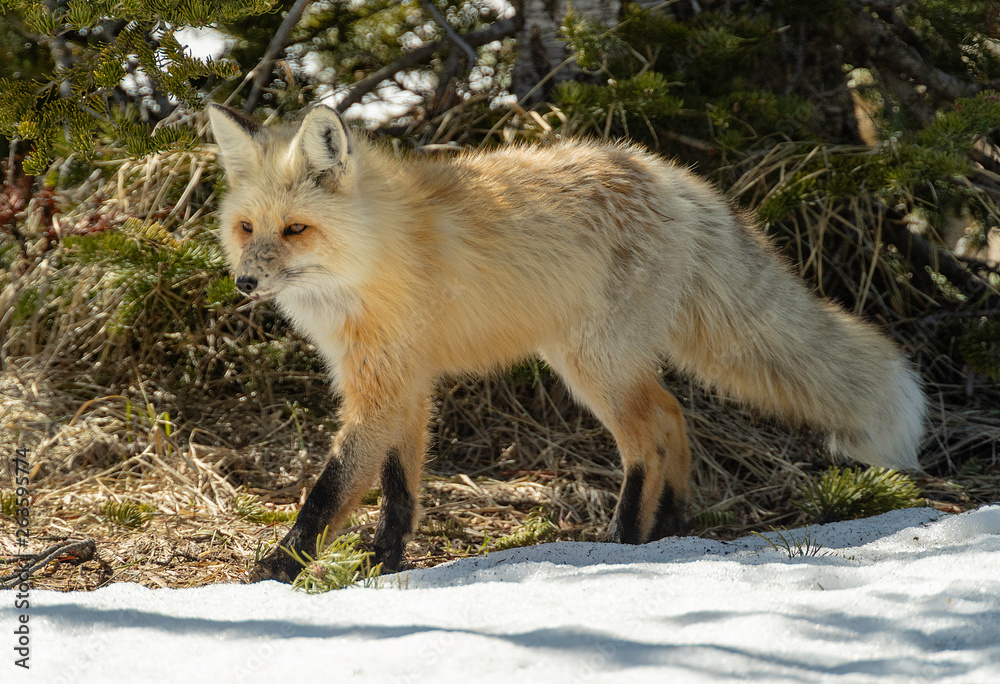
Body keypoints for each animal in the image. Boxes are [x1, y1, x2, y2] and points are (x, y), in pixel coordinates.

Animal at [207, 102, 927, 583]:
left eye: (295, 229)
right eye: (247, 228)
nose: (244, 282)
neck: (373, 258)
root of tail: (671, 175)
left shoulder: (384, 384)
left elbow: (331, 489)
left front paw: (275, 571)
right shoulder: (398, 380)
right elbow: (398, 486)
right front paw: (385, 561)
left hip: (591, 366)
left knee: (651, 435)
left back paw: (623, 540)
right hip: (598, 361)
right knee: (675, 418)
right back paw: (672, 528)